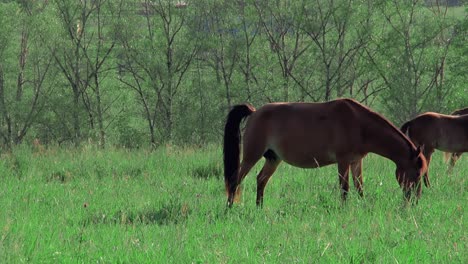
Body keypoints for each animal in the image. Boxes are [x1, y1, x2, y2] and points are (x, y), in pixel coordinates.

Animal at [223, 98, 428, 207]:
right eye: (417, 173)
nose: (415, 200)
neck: (360, 124)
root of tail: (255, 112)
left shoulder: (356, 162)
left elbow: (359, 187)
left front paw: (362, 206)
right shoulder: (343, 161)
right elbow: (345, 189)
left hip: (274, 159)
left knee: (261, 180)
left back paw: (260, 208)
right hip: (251, 155)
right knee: (235, 180)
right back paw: (229, 209)